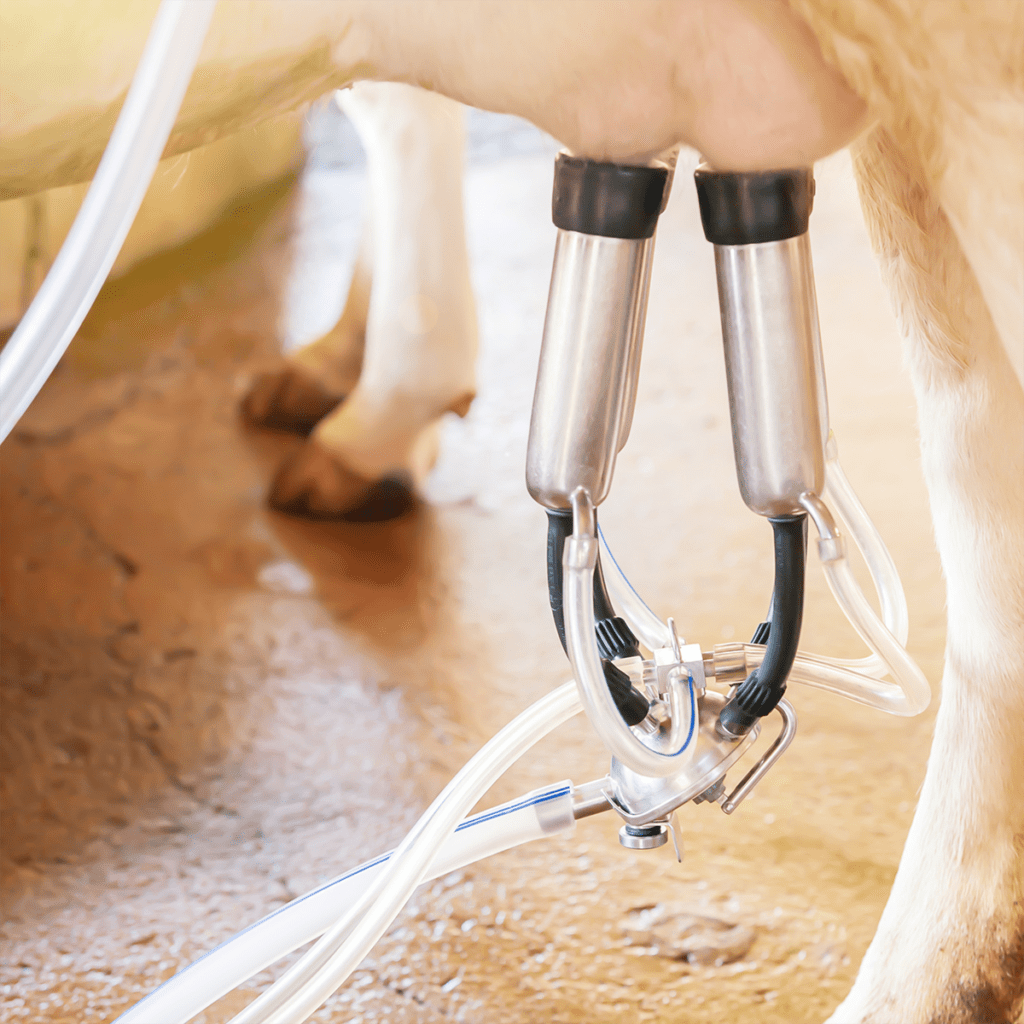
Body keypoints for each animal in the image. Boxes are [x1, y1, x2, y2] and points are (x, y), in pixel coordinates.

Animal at [2, 2, 1024, 1024]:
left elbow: (399, 107)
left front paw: (380, 408)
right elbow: (394, 98)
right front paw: (345, 369)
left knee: (983, 546)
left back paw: (914, 988)